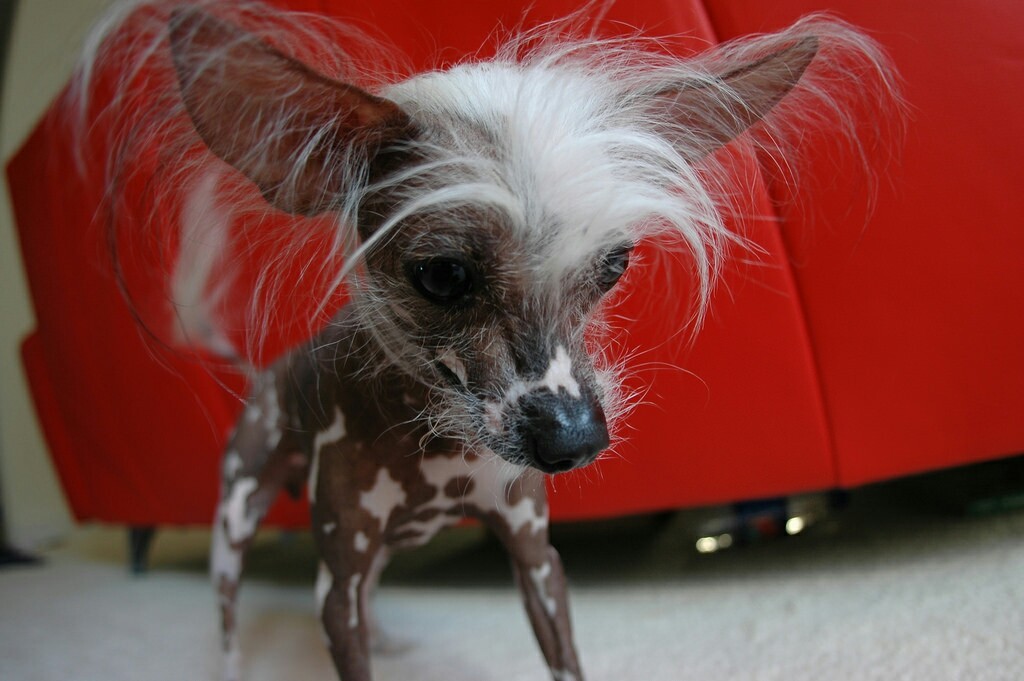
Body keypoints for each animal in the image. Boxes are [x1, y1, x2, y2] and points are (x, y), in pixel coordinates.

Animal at [74, 1, 897, 679]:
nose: (576, 441)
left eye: (613, 265)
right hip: (235, 516)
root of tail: (266, 371)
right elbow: (342, 625)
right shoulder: (333, 582)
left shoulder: (538, 559)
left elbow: (564, 657)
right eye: (442, 275)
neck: (439, 446)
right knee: (228, 619)